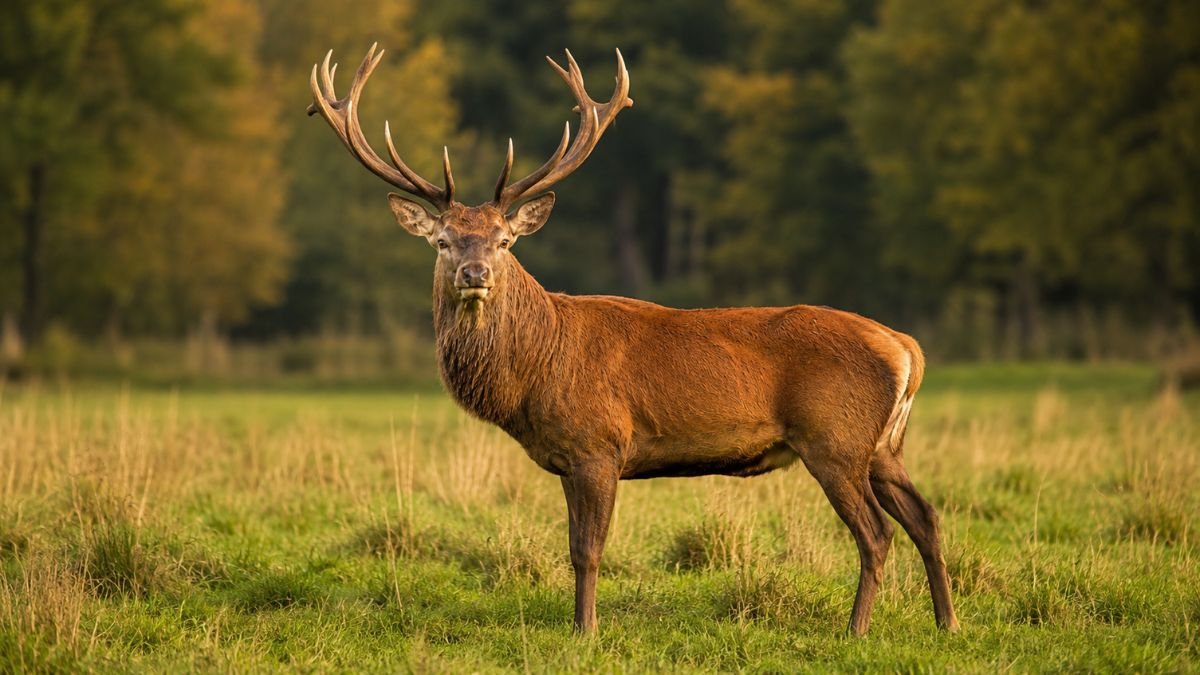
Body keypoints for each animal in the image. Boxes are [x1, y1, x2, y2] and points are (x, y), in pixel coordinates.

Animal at [308, 43, 959, 637]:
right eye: (443, 240)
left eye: (504, 241)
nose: (476, 273)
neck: (534, 374)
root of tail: (907, 348)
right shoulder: (568, 457)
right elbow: (575, 546)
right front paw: (579, 626)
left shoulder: (600, 443)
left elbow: (588, 550)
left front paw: (586, 631)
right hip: (884, 445)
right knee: (925, 516)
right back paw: (947, 623)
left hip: (834, 439)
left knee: (877, 533)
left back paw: (857, 630)